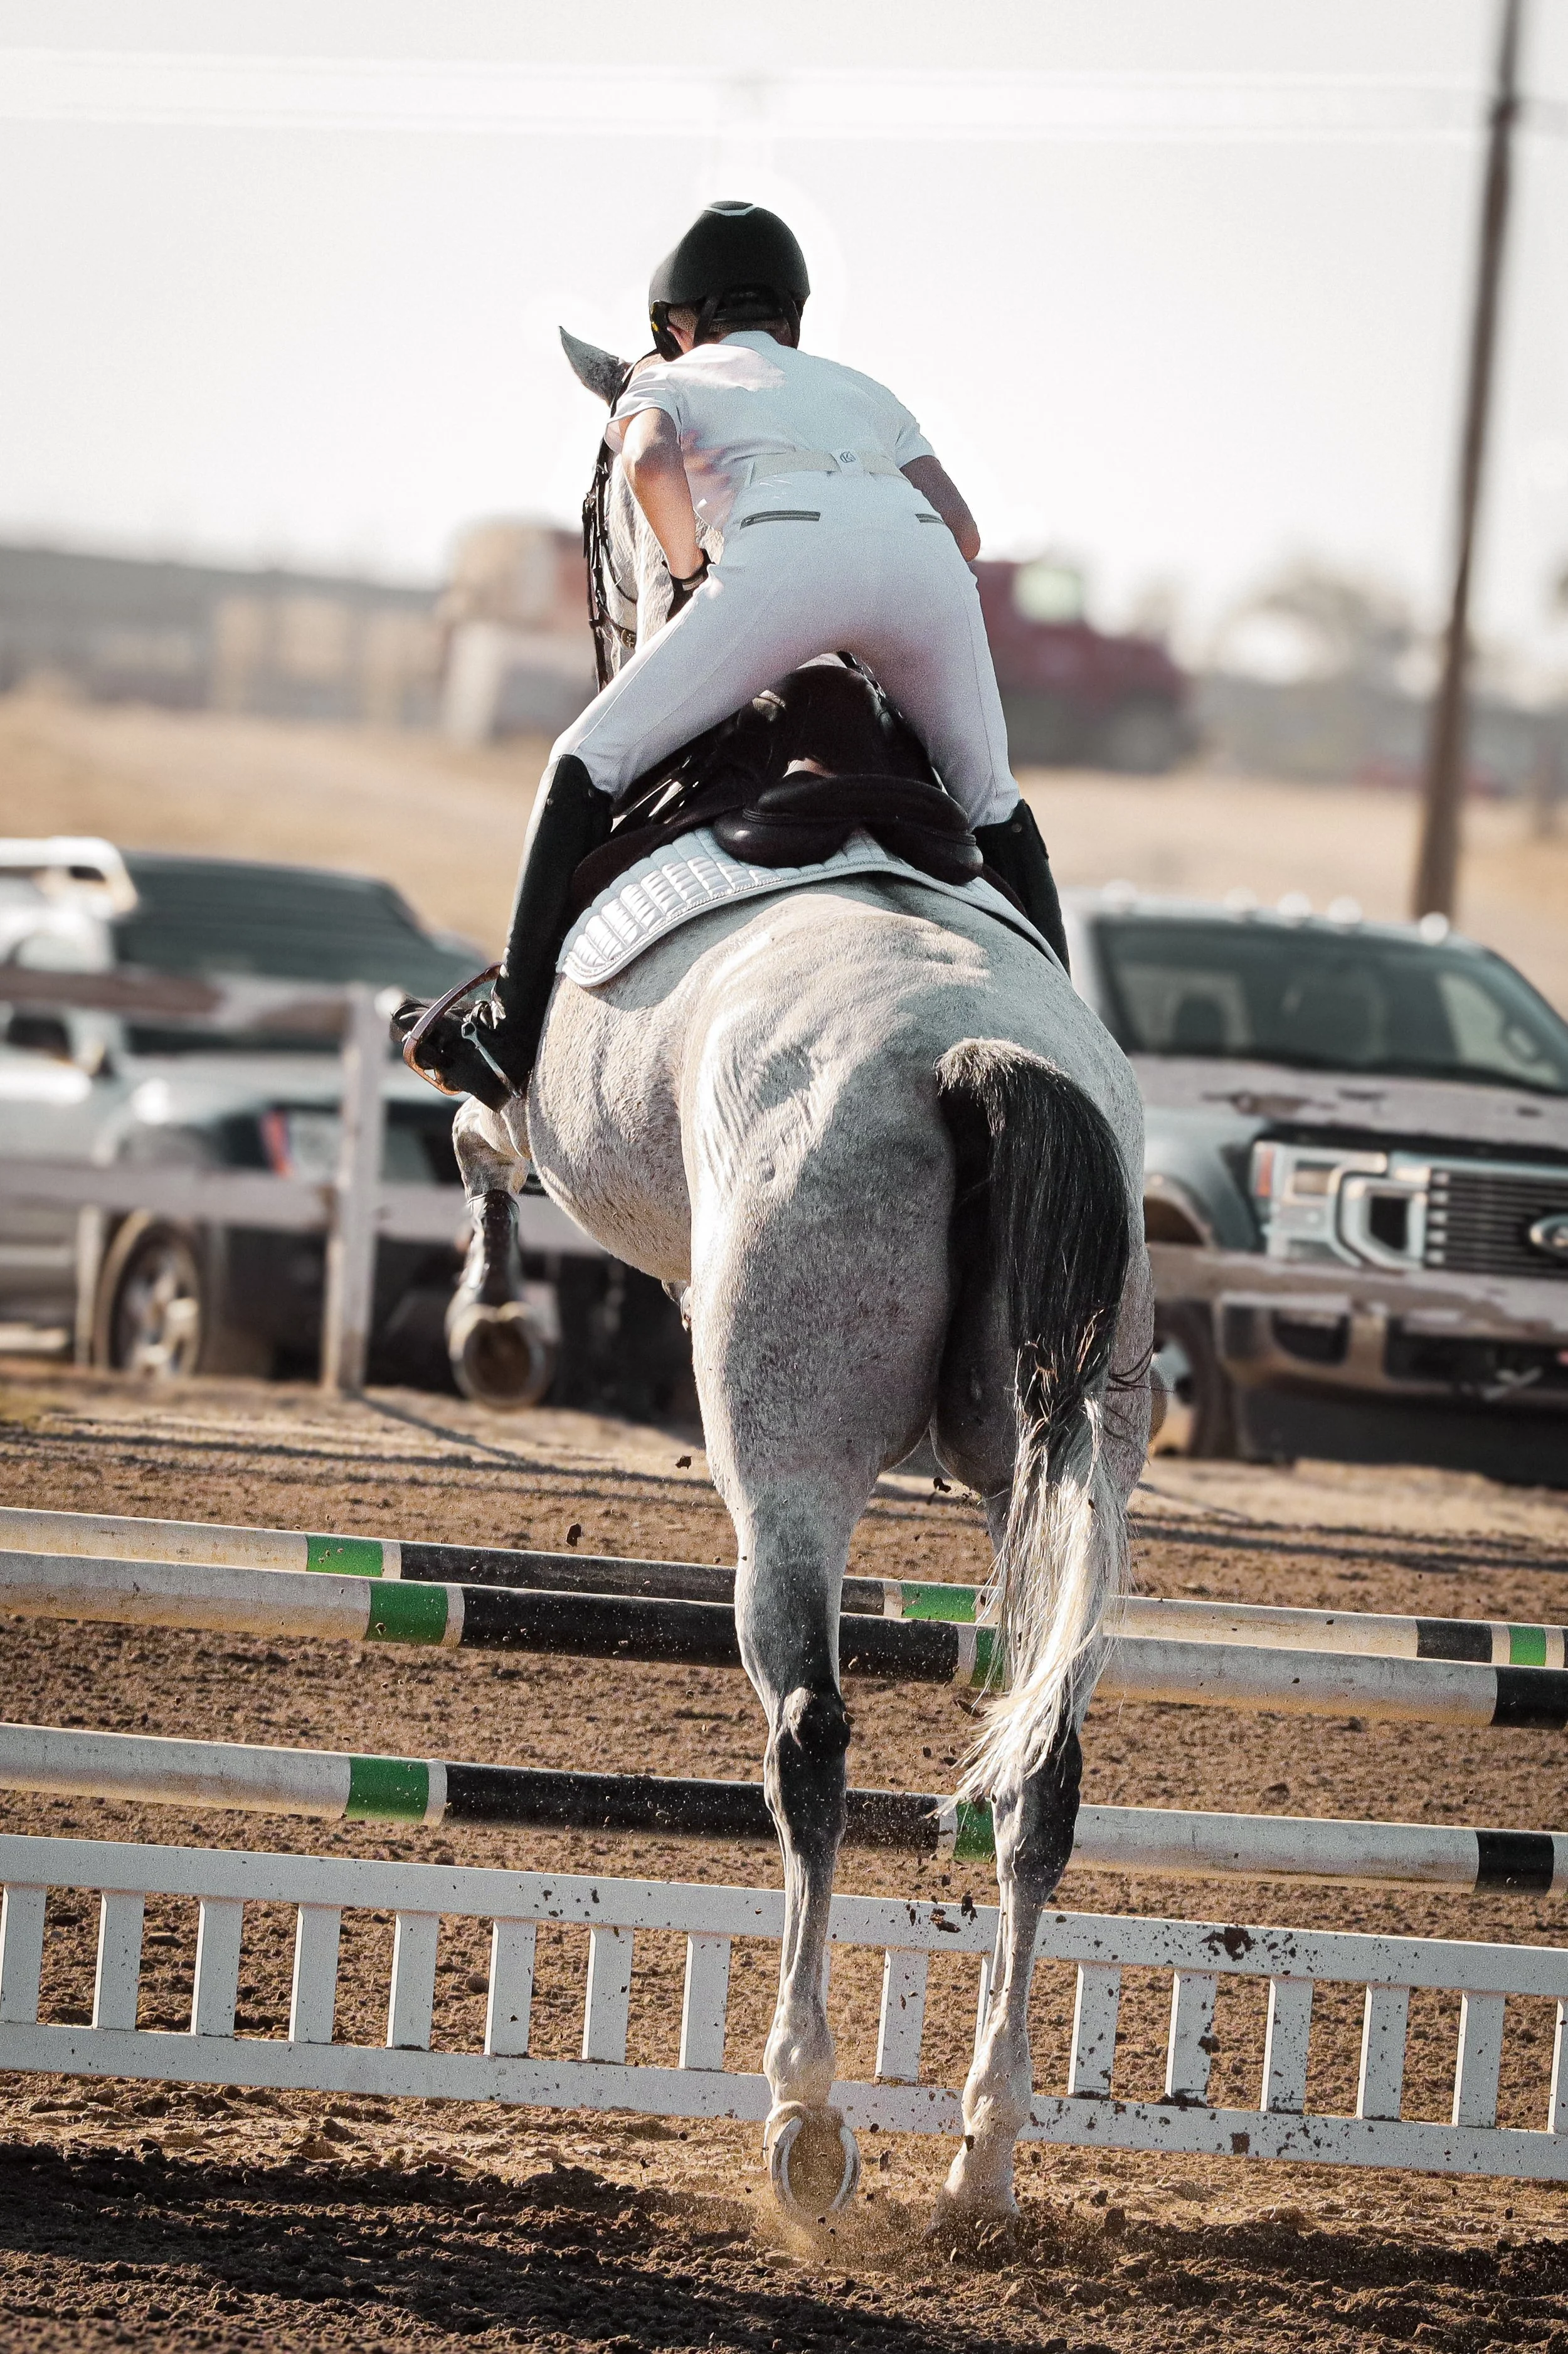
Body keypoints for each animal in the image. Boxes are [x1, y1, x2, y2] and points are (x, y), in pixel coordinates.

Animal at [440, 332, 1154, 2227]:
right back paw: (981, 2155)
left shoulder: (542, 1118)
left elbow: (472, 1130)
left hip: (786, 1450)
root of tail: (979, 1055)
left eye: (591, 513)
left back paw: (808, 2120)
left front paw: (490, 1329)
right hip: (1081, 1451)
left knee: (812, 1733)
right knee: (1042, 1766)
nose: (605, 607)